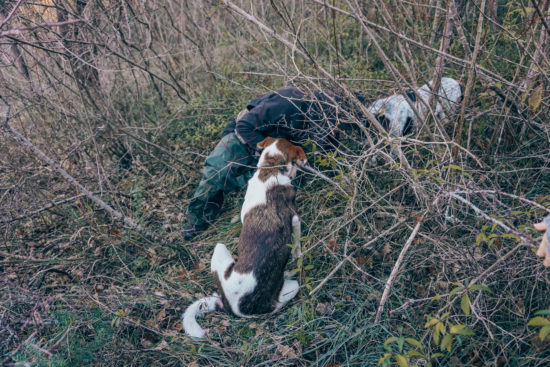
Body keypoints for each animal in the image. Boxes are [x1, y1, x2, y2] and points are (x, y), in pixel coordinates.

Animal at [184, 137, 306, 338]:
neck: (270, 168)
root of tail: (229, 307)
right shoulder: (294, 218)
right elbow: (297, 244)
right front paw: (298, 257)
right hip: (288, 290)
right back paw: (287, 273)